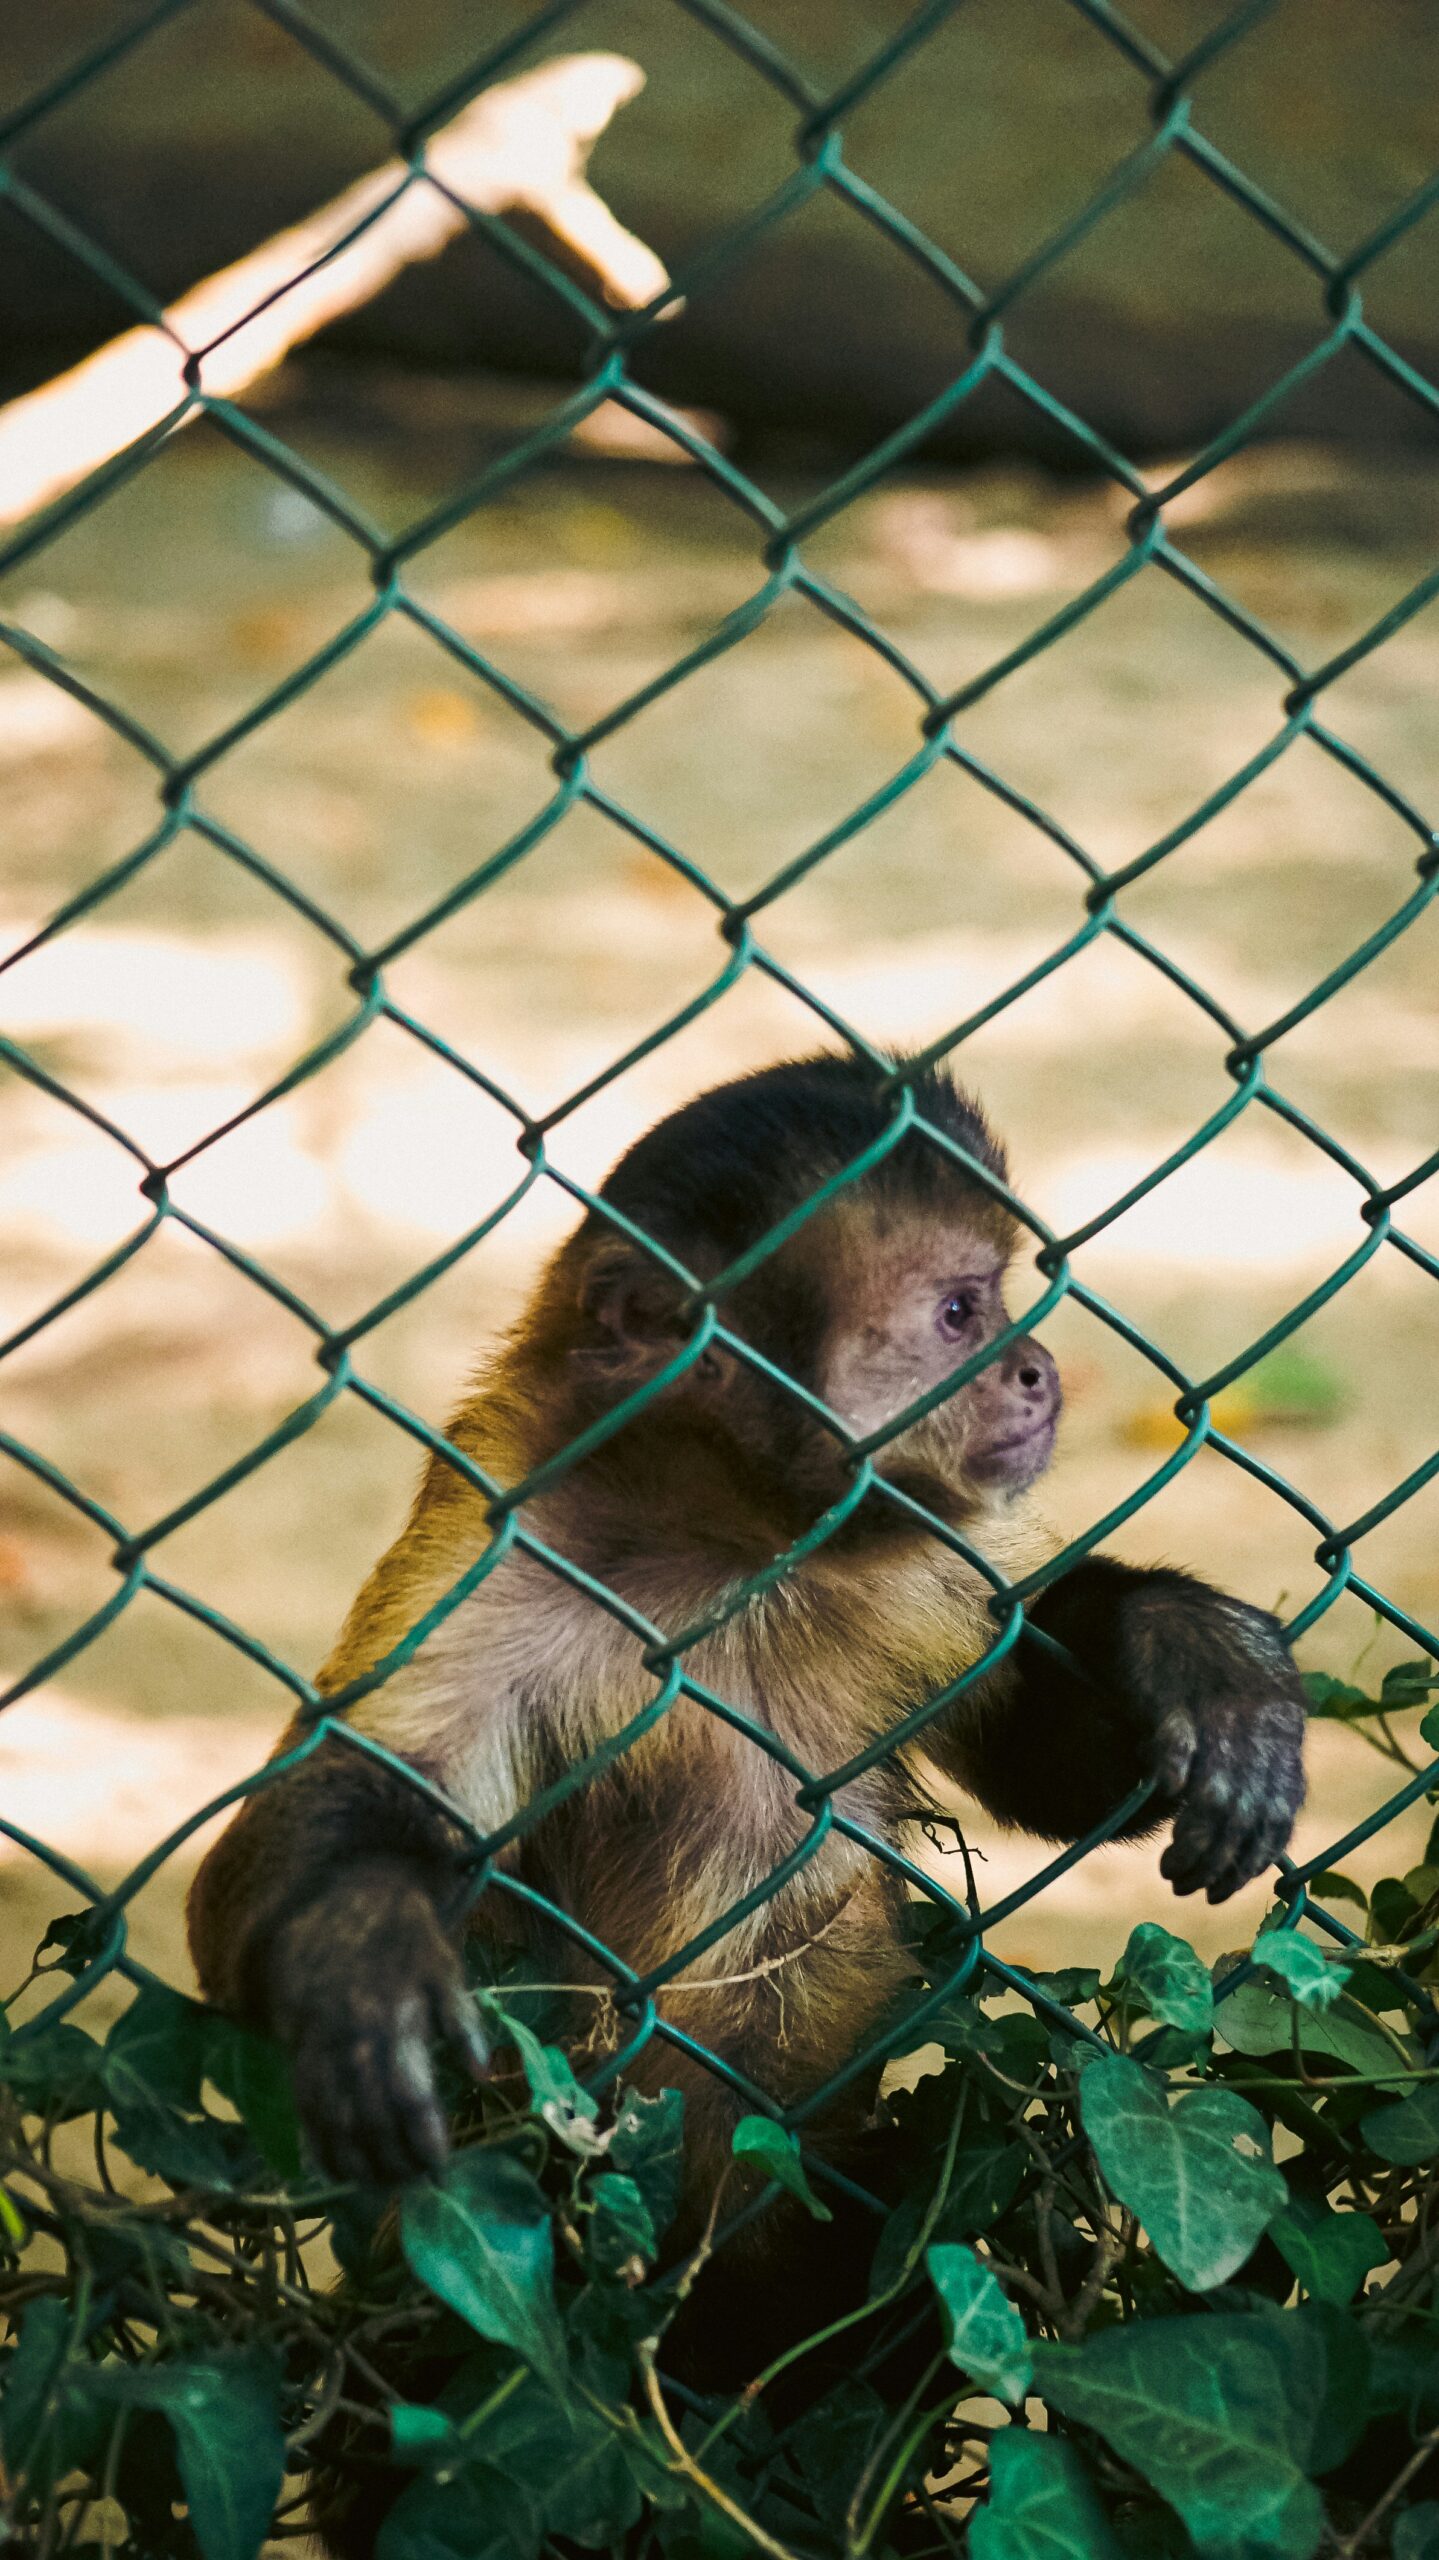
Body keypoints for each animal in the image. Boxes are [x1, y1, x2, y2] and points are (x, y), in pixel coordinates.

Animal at [188, 1051, 1307, 2225]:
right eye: (961, 1312)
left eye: (1000, 1303)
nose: (1037, 1365)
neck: (731, 1553)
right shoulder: (495, 1542)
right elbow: (334, 1798)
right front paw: (354, 1943)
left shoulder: (922, 1560)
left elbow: (1035, 1765)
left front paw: (1198, 1654)